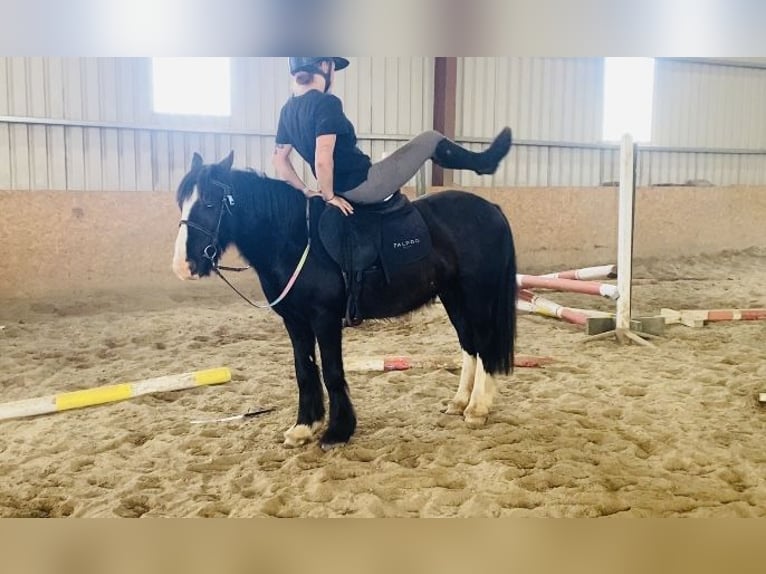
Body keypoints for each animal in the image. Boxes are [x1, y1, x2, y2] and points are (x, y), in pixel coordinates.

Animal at [173, 152, 520, 450]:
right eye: (181, 202)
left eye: (209, 202)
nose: (183, 266)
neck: (296, 240)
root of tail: (492, 208)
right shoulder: (295, 322)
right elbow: (304, 370)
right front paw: (304, 427)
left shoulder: (324, 318)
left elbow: (331, 372)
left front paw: (337, 431)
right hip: (453, 296)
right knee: (469, 345)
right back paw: (460, 402)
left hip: (477, 295)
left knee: (484, 343)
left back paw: (477, 408)